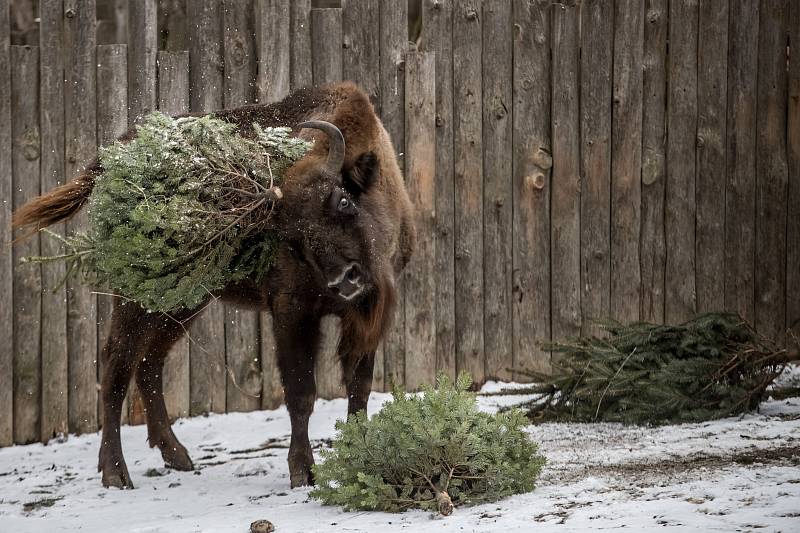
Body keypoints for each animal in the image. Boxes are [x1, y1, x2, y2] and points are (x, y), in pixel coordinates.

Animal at [12, 82, 416, 486]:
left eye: (343, 200)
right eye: (293, 241)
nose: (344, 279)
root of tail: (112, 156)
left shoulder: (360, 320)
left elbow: (359, 388)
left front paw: (358, 457)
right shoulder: (293, 312)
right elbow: (301, 392)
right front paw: (303, 472)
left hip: (183, 303)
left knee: (149, 362)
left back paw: (177, 456)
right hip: (134, 299)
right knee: (117, 364)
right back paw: (116, 473)